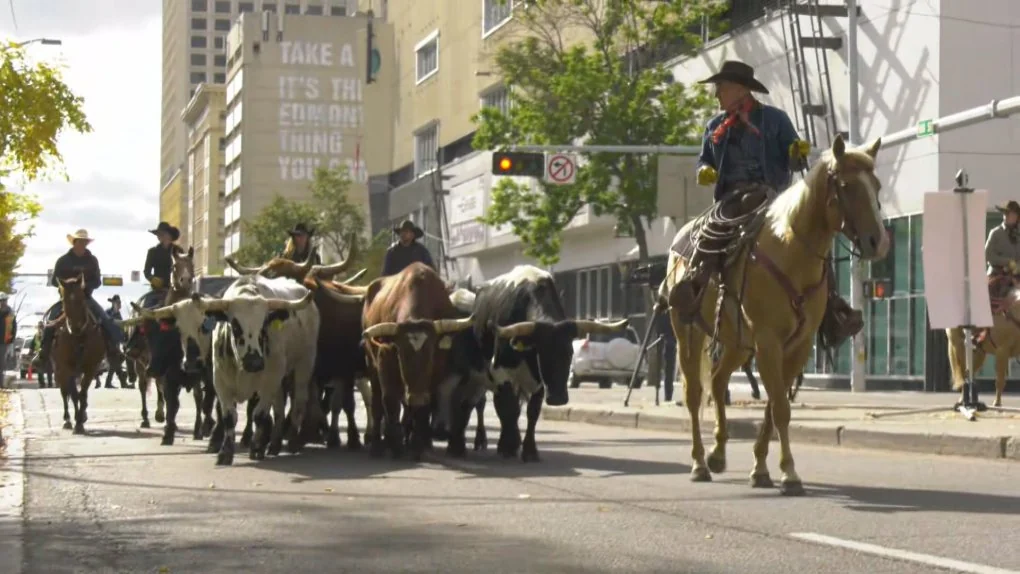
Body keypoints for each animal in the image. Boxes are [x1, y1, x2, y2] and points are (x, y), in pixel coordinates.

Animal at [52, 275, 107, 434]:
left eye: (82, 299)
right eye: (64, 300)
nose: (75, 327)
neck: (79, 337)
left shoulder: (90, 368)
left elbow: (82, 393)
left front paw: (80, 421)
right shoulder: (66, 367)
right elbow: (74, 394)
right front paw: (76, 422)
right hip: (60, 369)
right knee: (65, 392)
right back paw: (67, 419)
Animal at [206, 275, 318, 466]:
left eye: (264, 324)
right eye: (235, 326)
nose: (254, 362)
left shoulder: (269, 382)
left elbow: (259, 415)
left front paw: (256, 448)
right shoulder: (220, 381)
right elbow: (229, 417)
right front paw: (225, 452)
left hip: (304, 365)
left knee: (298, 402)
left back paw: (292, 442)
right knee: (279, 409)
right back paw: (274, 444)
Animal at [459, 267, 624, 462]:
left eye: (570, 353)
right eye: (542, 353)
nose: (558, 398)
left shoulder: (538, 381)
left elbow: (532, 411)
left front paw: (529, 450)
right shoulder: (500, 371)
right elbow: (509, 409)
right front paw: (509, 446)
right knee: (483, 404)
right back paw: (483, 440)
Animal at [665, 136, 889, 495]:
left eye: (877, 186)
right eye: (846, 186)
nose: (879, 242)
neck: (790, 251)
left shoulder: (797, 344)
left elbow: (774, 405)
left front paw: (761, 469)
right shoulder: (768, 341)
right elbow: (780, 407)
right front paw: (789, 474)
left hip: (738, 342)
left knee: (718, 381)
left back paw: (718, 453)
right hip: (688, 331)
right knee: (694, 394)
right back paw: (699, 463)